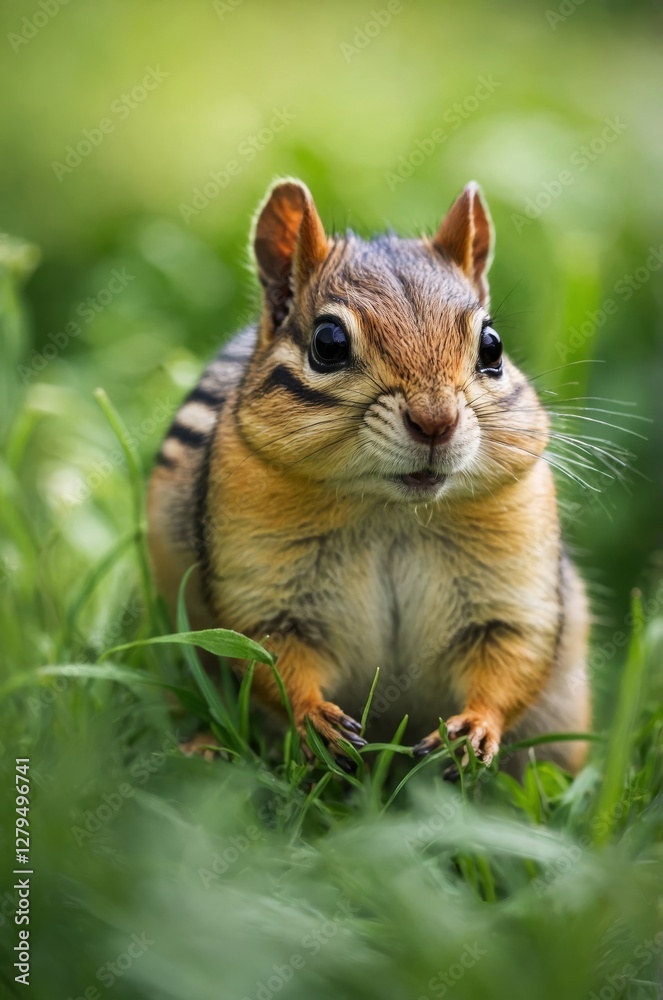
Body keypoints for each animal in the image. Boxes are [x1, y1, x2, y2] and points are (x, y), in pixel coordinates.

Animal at [147, 178, 590, 773]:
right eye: (328, 343)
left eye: (492, 346)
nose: (436, 420)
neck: (391, 512)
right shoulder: (264, 590)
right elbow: (269, 656)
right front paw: (315, 720)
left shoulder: (512, 589)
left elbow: (513, 656)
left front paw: (474, 729)